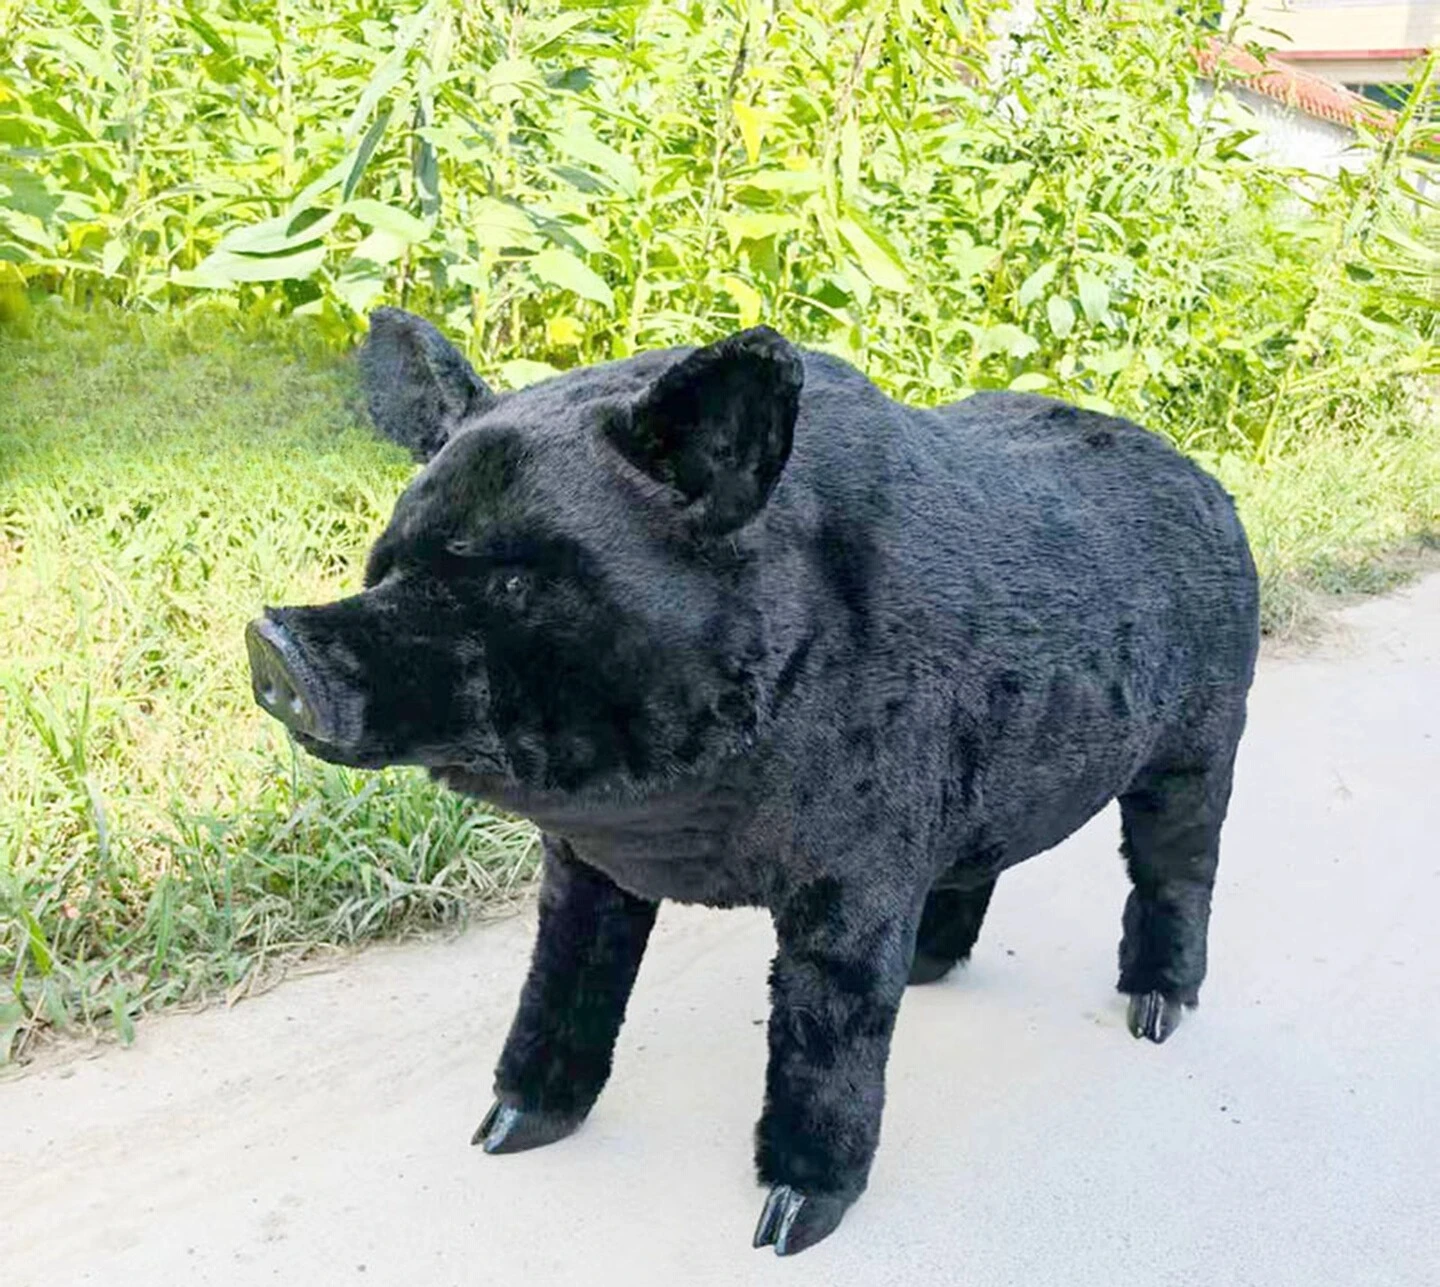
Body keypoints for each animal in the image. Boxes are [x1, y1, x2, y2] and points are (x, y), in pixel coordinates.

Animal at [246, 307, 1259, 1255]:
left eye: (511, 584)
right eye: (387, 562)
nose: (273, 638)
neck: (668, 823)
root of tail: (1212, 486)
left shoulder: (862, 858)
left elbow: (825, 1026)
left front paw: (786, 1223)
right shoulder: (584, 865)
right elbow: (561, 978)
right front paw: (500, 1133)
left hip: (1205, 739)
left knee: (1178, 866)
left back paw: (1154, 1014)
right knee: (985, 858)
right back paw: (927, 971)